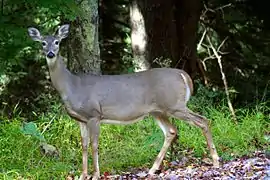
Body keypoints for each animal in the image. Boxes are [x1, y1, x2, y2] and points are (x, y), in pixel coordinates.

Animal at [28, 24, 219, 179]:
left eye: (57, 42)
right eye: (42, 43)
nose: (50, 53)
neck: (71, 85)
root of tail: (183, 74)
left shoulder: (94, 114)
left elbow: (94, 145)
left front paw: (95, 175)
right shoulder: (80, 119)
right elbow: (84, 145)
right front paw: (82, 175)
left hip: (175, 105)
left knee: (202, 120)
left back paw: (216, 161)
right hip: (158, 110)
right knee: (171, 131)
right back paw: (152, 169)